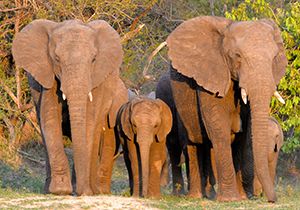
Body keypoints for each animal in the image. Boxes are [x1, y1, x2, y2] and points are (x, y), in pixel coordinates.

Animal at [11, 19, 126, 195]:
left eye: (94, 59)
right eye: (57, 58)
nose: (80, 192)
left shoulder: (96, 80)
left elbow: (89, 122)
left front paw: (83, 191)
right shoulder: (48, 76)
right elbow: (50, 118)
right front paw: (61, 190)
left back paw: (93, 190)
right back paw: (49, 190)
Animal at [165, 16, 288, 202]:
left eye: (274, 58)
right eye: (237, 56)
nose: (272, 200)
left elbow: (243, 134)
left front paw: (242, 198)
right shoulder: (210, 75)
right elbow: (218, 126)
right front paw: (230, 199)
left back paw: (209, 194)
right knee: (192, 140)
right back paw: (196, 197)